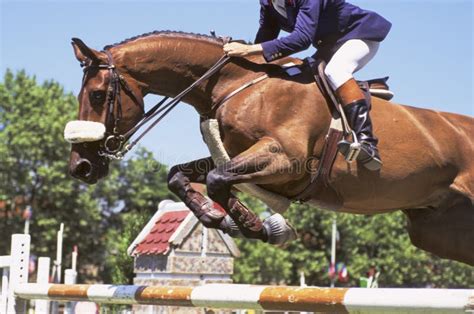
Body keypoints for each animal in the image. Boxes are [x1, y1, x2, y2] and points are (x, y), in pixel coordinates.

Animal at [66, 30, 474, 264]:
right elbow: (180, 176)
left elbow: (217, 179)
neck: (236, 82)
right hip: (436, 231)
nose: (80, 168)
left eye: (98, 95)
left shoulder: (288, 160)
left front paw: (259, 226)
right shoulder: (238, 154)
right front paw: (221, 220)